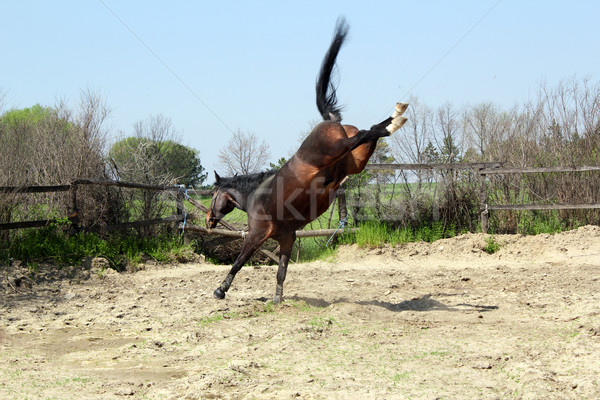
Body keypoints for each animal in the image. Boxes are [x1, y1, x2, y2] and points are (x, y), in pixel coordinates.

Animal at [206, 17, 408, 302]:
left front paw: (220, 290)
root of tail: (329, 121)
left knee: (368, 132)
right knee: (371, 133)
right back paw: (397, 114)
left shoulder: (257, 235)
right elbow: (281, 272)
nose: (209, 221)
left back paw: (397, 118)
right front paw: (277, 299)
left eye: (213, 195)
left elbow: (238, 262)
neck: (255, 195)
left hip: (338, 148)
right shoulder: (287, 239)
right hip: (357, 162)